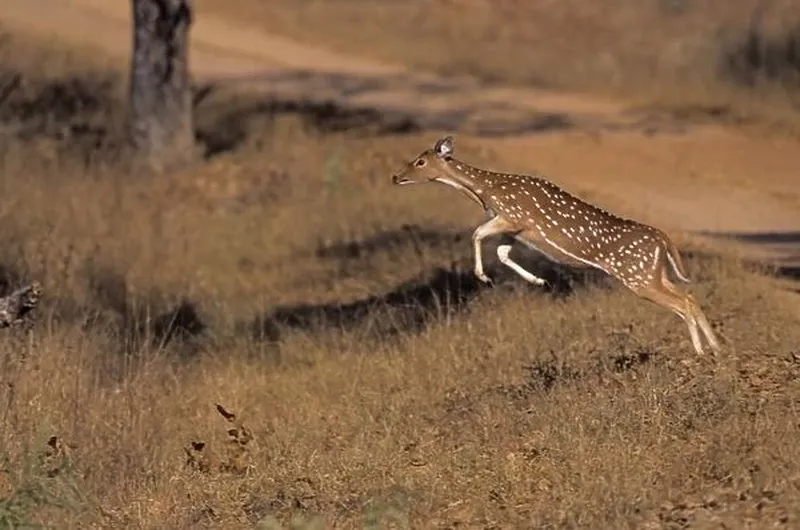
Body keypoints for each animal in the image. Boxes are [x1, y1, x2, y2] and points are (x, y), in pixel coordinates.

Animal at [390, 135, 720, 354]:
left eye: (420, 161)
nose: (395, 177)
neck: (483, 191)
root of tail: (663, 240)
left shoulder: (512, 216)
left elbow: (477, 234)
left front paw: (483, 276)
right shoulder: (515, 229)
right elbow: (501, 251)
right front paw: (538, 280)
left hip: (638, 277)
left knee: (682, 303)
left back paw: (701, 351)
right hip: (654, 272)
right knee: (689, 296)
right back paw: (716, 348)